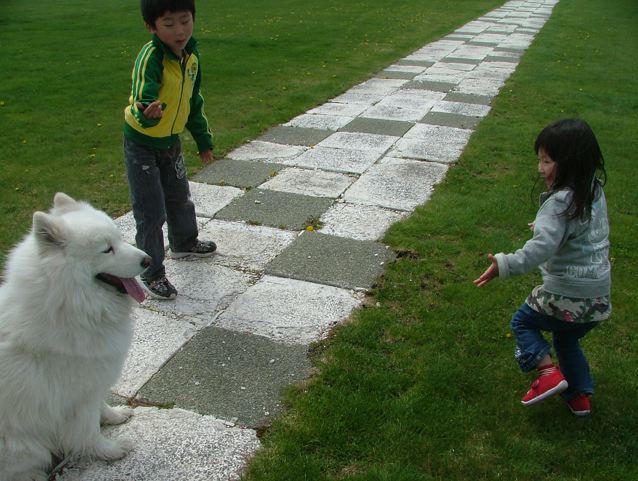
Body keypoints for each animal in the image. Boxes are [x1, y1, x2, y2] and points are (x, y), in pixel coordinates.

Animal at [0, 192, 151, 480]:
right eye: (107, 249)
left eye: (119, 238)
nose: (148, 260)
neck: (68, 307)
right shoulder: (74, 398)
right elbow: (88, 431)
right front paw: (111, 451)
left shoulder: (93, 383)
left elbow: (101, 406)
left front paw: (115, 416)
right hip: (24, 446)